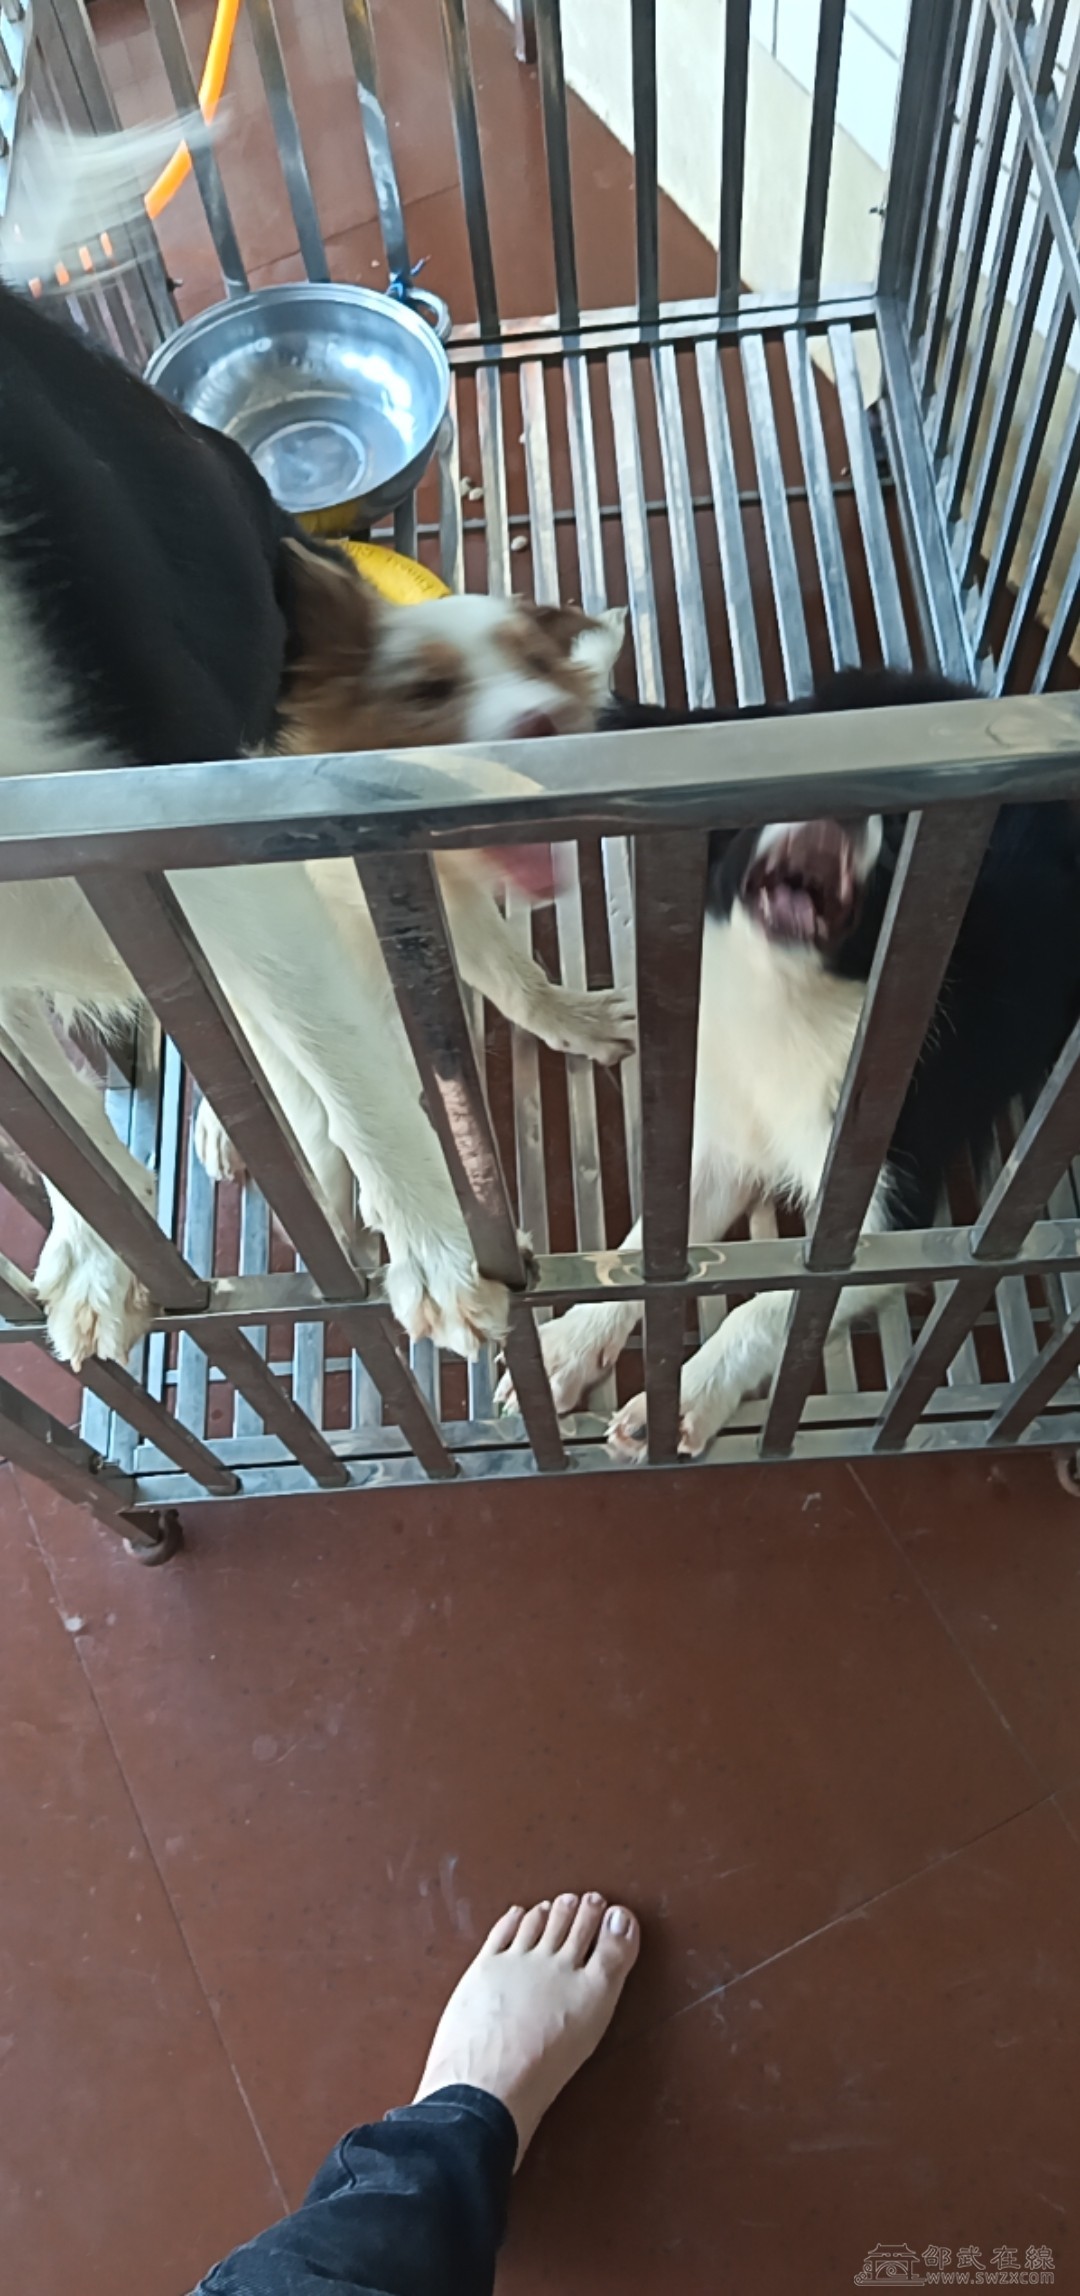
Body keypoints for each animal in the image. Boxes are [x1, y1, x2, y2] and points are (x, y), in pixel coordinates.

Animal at [0, 127, 630, 1370]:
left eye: (536, 661)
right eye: (425, 691)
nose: (542, 727)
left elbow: (443, 1017)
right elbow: (75, 1136)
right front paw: (101, 1248)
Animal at [496, 667, 1080, 1457]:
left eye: (901, 836)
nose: (845, 802)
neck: (783, 999)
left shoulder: (890, 1213)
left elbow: (776, 1303)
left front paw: (686, 1395)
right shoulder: (724, 1150)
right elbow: (644, 1249)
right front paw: (566, 1346)